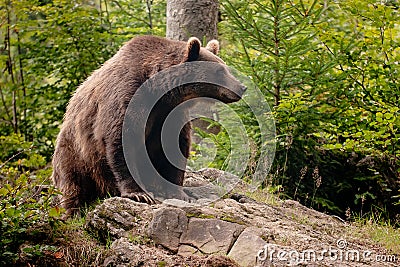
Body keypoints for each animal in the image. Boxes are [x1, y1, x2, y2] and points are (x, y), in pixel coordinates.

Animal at [51, 35, 245, 216]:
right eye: (220, 71)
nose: (242, 87)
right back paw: (73, 210)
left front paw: (181, 193)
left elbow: (174, 148)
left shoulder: (169, 113)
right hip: (74, 154)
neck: (158, 89)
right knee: (73, 184)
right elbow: (120, 141)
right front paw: (138, 194)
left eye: (226, 68)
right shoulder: (127, 98)